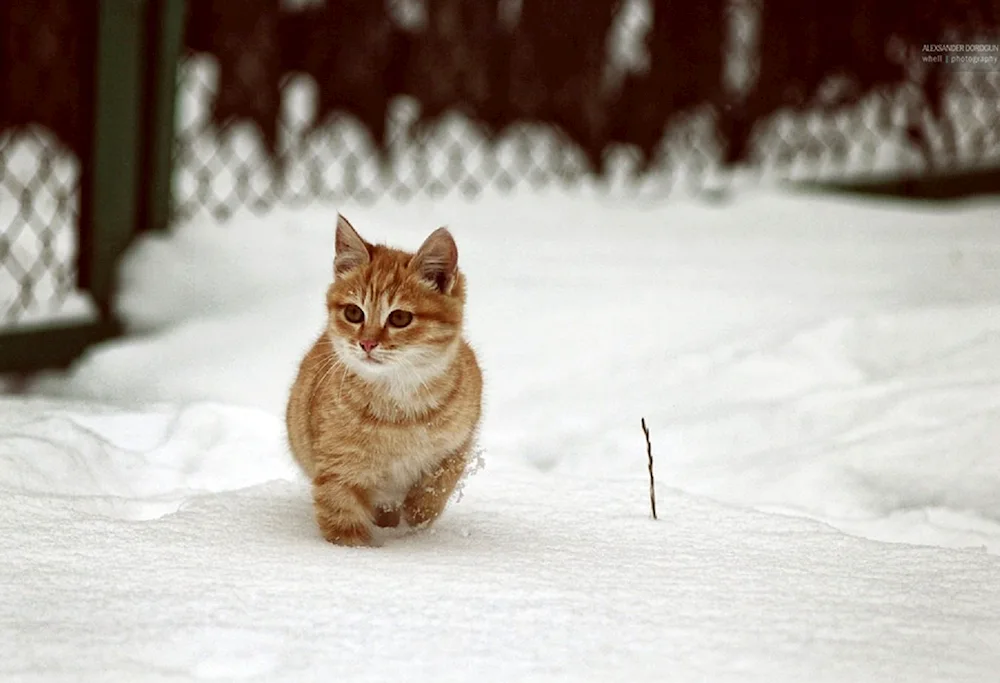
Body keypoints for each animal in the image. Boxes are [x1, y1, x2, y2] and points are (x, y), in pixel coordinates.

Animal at [286, 216, 484, 548]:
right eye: (354, 313)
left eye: (400, 318)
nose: (366, 343)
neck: (399, 406)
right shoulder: (339, 473)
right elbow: (343, 526)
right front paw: (358, 552)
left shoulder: (459, 443)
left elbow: (437, 485)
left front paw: (419, 511)